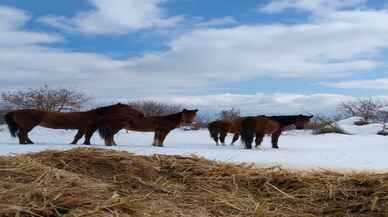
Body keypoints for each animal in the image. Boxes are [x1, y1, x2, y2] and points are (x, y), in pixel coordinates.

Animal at [3, 103, 144, 145]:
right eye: (129, 109)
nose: (141, 114)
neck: (96, 115)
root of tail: (14, 111)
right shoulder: (88, 127)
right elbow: (83, 136)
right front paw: (81, 143)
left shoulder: (86, 128)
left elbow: (82, 136)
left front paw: (81, 143)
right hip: (28, 125)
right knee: (22, 134)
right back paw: (25, 144)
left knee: (23, 134)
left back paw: (29, 143)